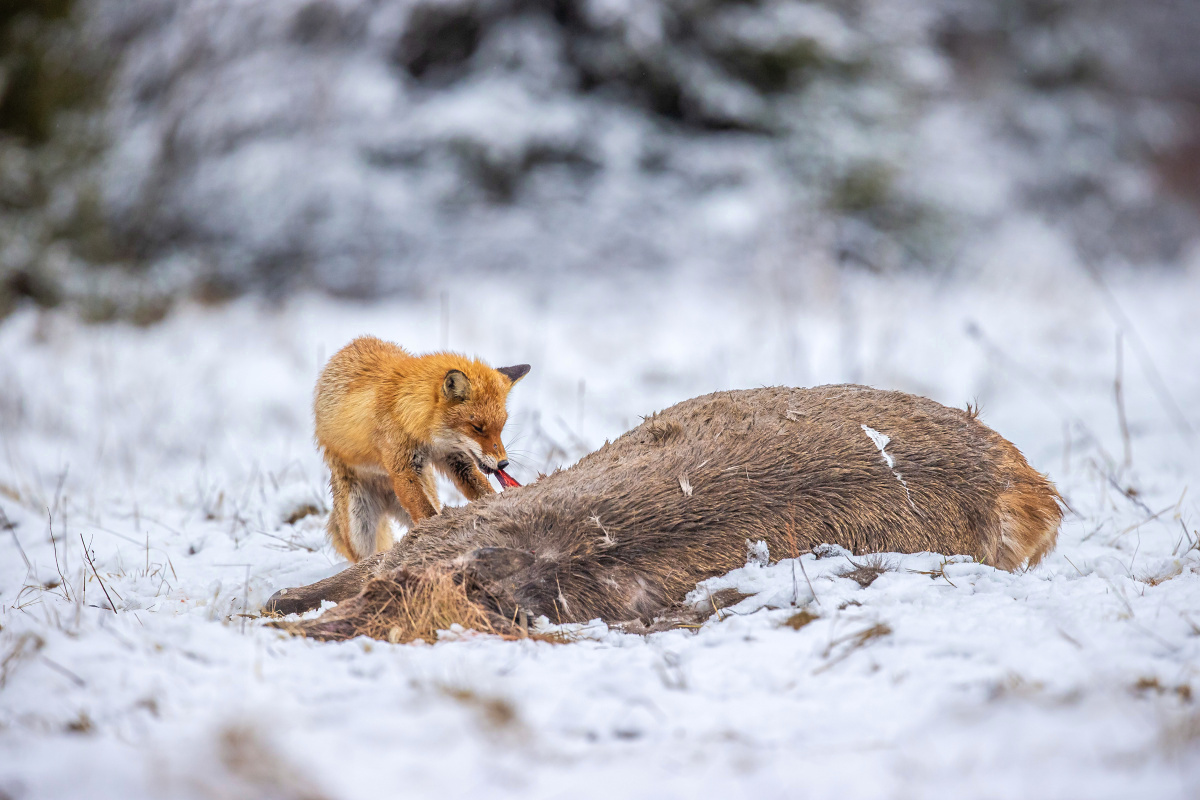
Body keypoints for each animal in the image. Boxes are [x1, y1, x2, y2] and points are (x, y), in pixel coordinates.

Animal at [314, 335, 530, 563]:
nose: (503, 463)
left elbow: (482, 491)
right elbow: (428, 515)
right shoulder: (403, 470)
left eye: (501, 427)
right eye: (477, 427)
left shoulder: (456, 460)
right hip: (360, 527)